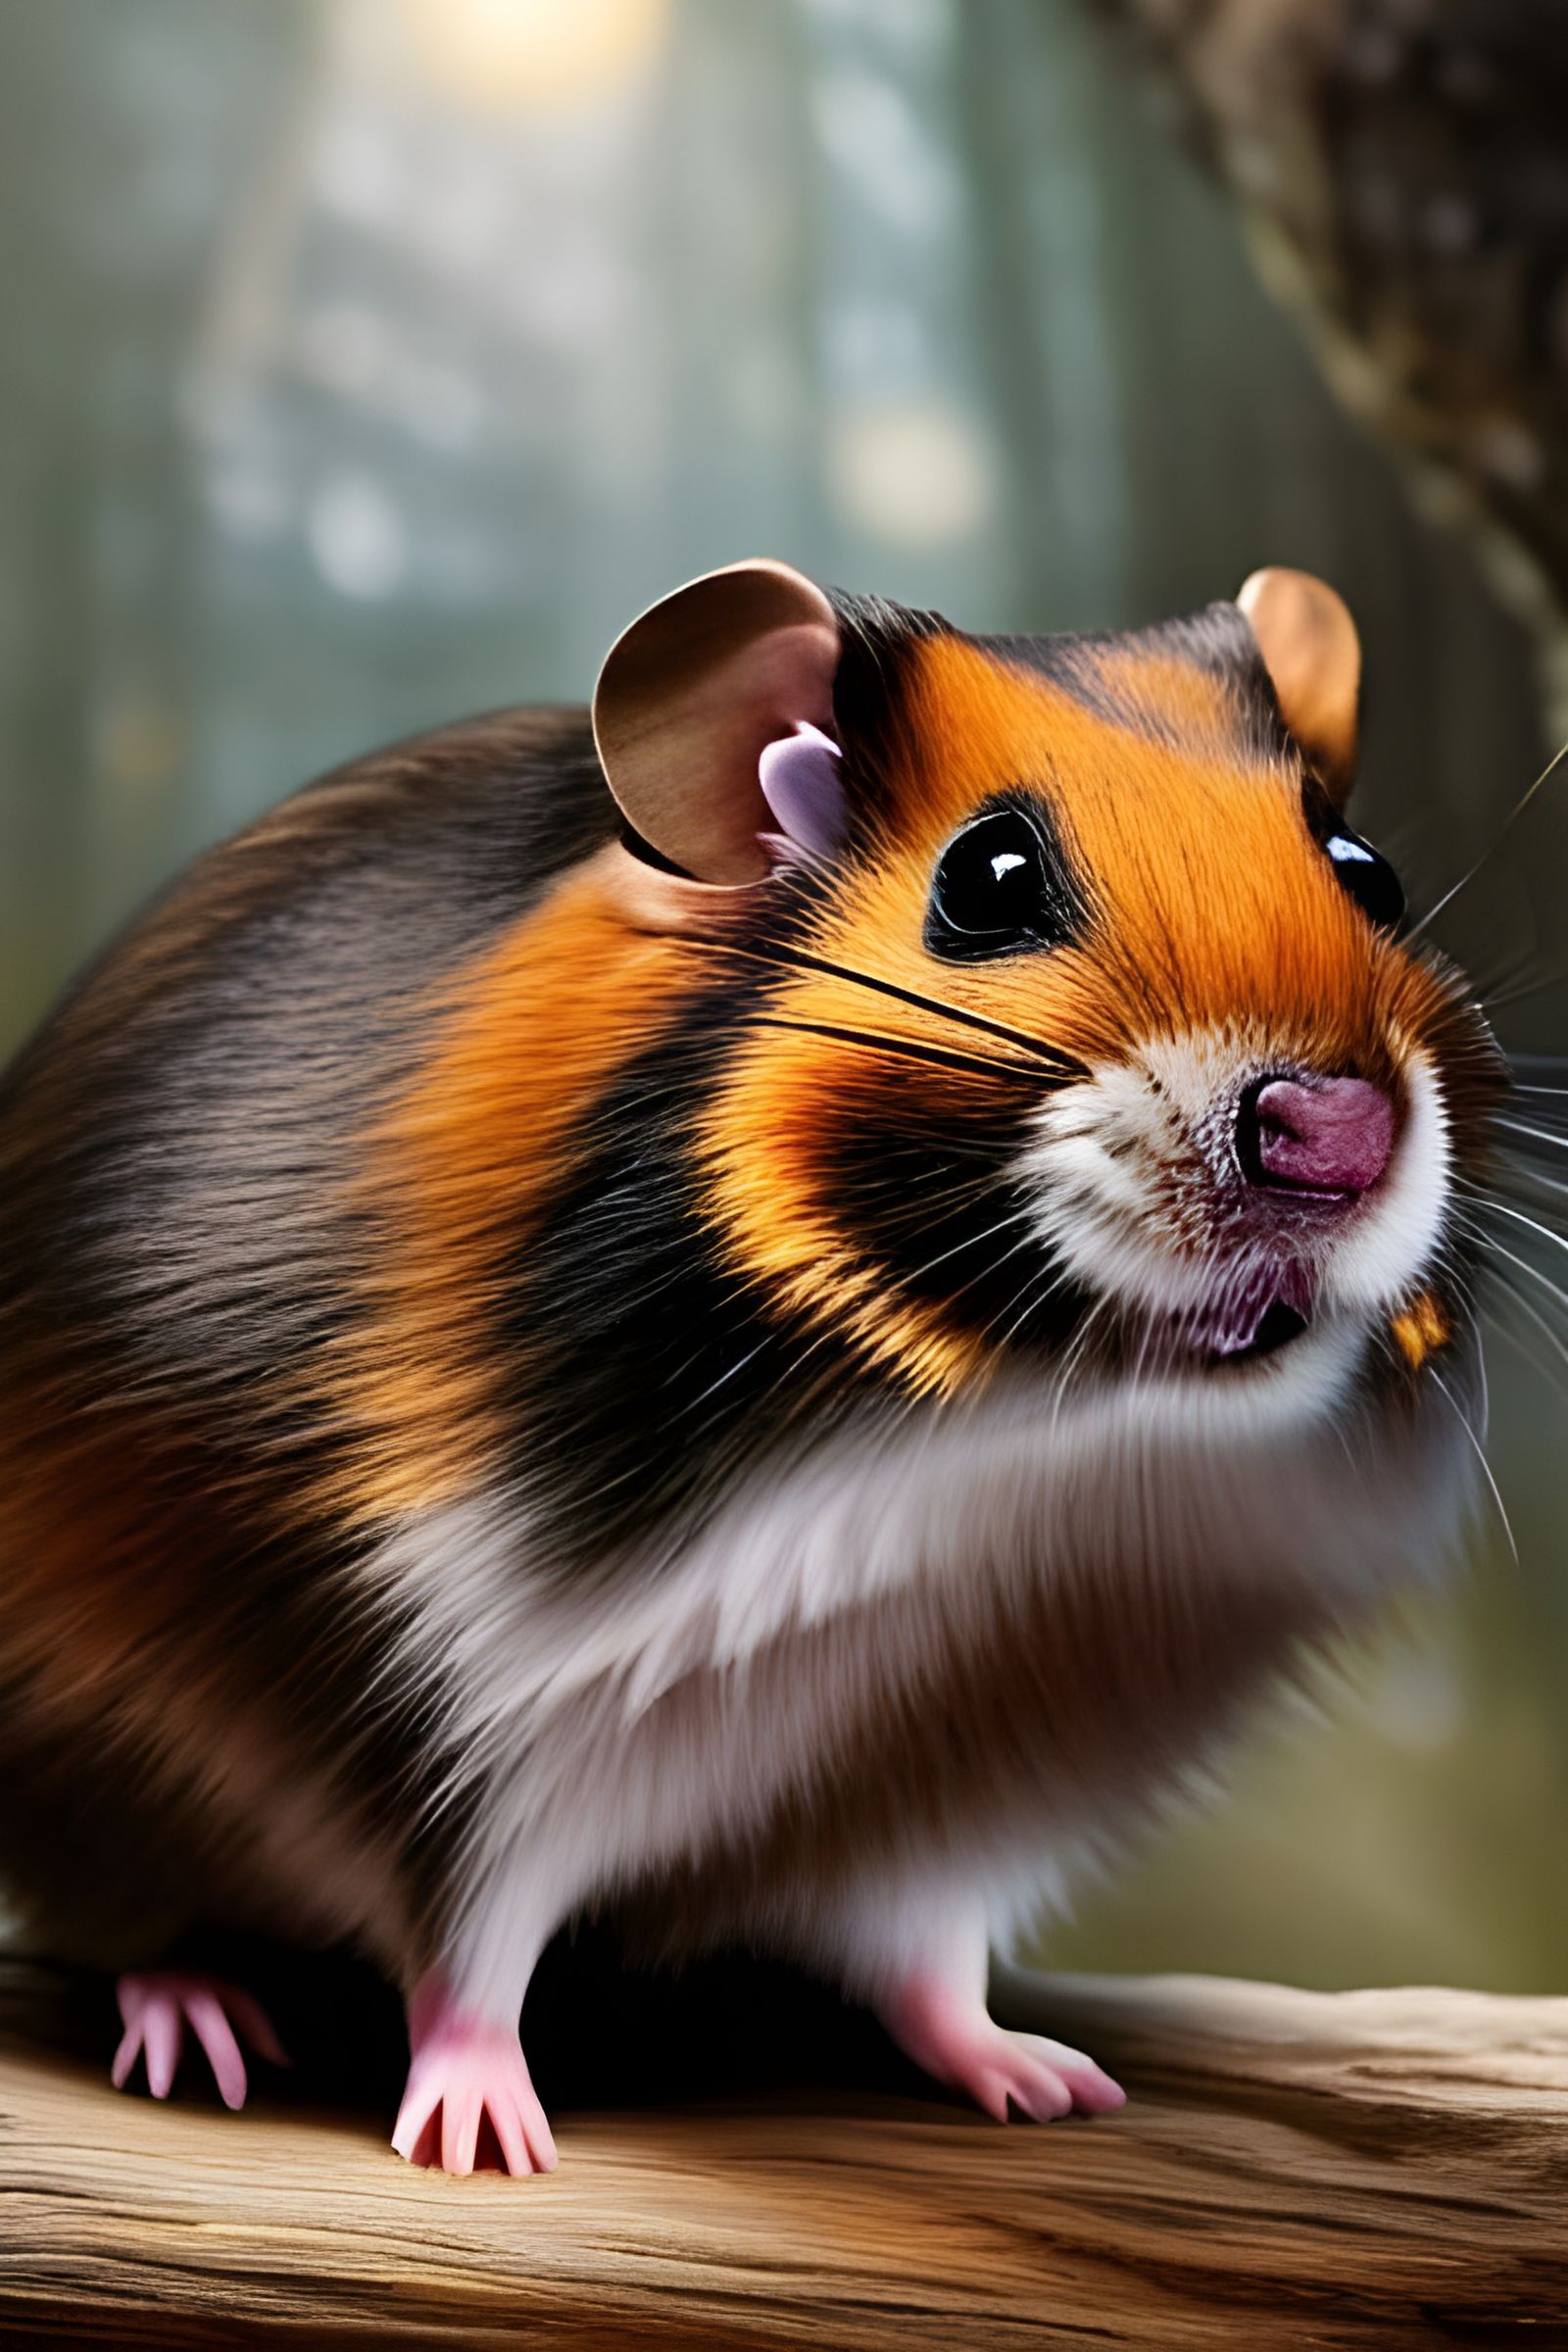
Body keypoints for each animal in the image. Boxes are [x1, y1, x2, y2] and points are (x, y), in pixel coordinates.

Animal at [0, 559, 1503, 2173]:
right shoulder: (455, 1711)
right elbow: (467, 1948)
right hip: (89, 1766)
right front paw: (484, 2139)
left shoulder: (967, 1787)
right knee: (123, 1924)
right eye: (989, 881)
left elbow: (932, 1964)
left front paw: (1044, 2081)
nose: (1337, 1135)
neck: (997, 1461)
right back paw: (196, 2024)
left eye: (1365, 866)